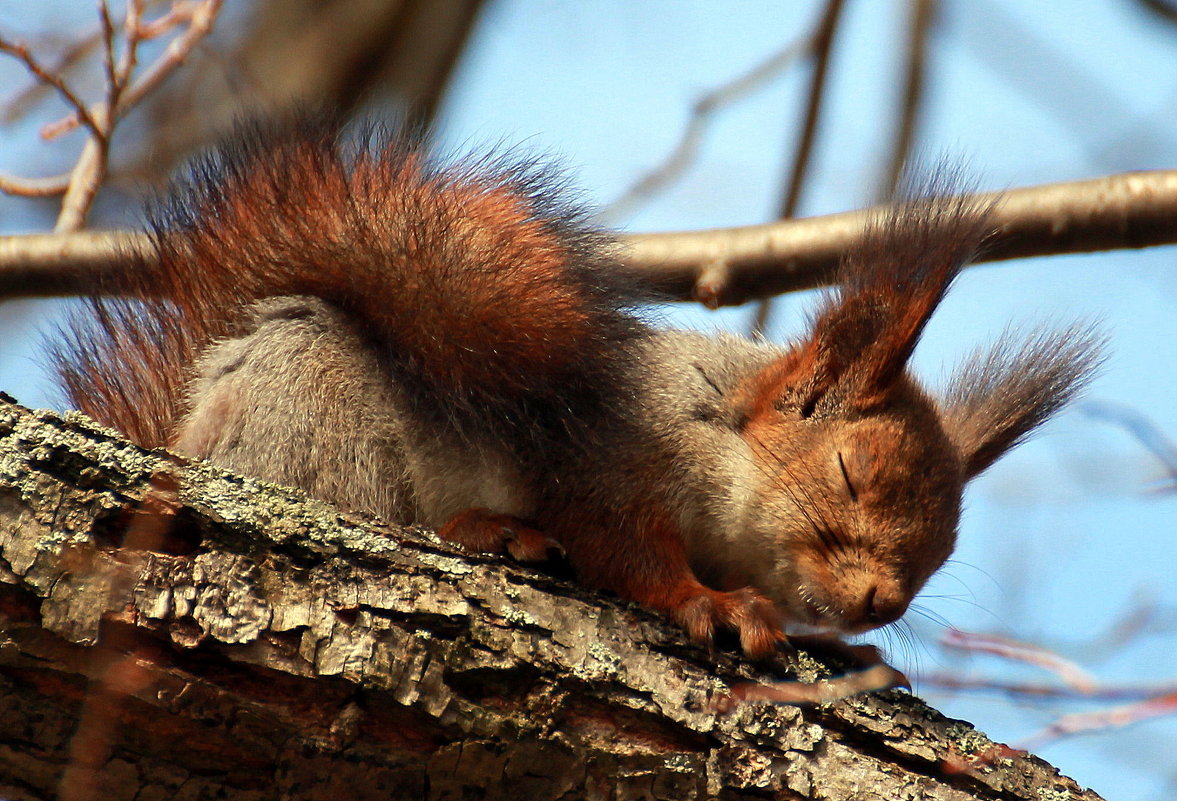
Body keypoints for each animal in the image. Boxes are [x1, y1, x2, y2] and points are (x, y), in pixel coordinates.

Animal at [55, 118, 1101, 653]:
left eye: (940, 552)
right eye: (849, 472)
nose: (883, 604)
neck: (716, 428)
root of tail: (188, 429)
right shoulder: (604, 456)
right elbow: (620, 545)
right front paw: (709, 604)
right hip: (311, 405)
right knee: (354, 504)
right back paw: (485, 529)